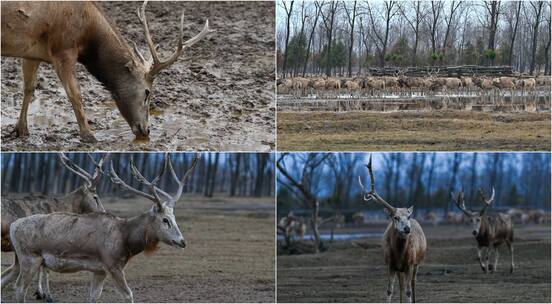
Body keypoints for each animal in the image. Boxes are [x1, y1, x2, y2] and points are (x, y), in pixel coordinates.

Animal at [1, 0, 213, 143]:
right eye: (147, 92)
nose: (146, 130)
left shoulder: (31, 52)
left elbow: (29, 88)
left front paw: (21, 130)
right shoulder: (63, 48)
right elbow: (75, 93)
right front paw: (89, 135)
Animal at [358, 156, 426, 302]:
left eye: (408, 216)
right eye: (395, 217)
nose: (407, 229)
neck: (399, 254)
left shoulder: (410, 264)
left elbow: (408, 291)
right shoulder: (390, 264)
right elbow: (389, 290)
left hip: (418, 263)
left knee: (413, 284)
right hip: (400, 270)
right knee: (401, 285)